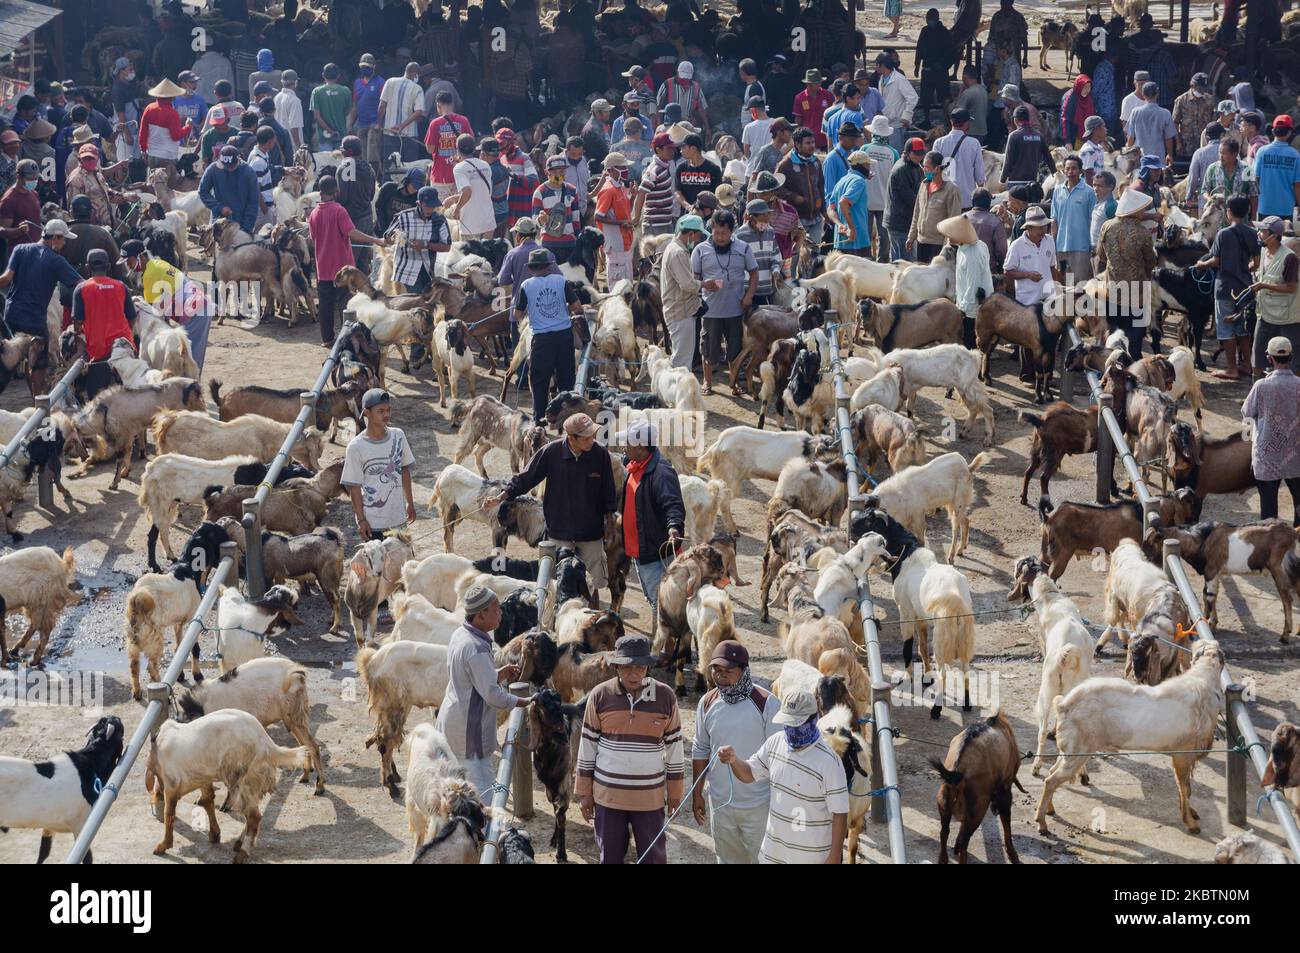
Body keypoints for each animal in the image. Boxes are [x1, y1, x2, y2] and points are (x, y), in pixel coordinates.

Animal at [935, 712, 1024, 863]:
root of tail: (958, 768)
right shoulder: (1004, 789)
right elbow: (1007, 824)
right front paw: (1012, 854)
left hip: (944, 802)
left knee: (944, 833)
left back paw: (944, 858)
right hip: (978, 808)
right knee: (964, 842)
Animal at [1034, 639, 1227, 832]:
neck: (1203, 681)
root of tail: (1062, 705)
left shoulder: (1182, 754)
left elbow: (1185, 787)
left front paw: (1191, 813)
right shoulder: (1183, 753)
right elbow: (1185, 787)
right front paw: (1191, 823)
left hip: (1070, 750)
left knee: (1051, 772)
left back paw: (1049, 810)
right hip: (1078, 750)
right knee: (1051, 780)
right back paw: (1041, 822)